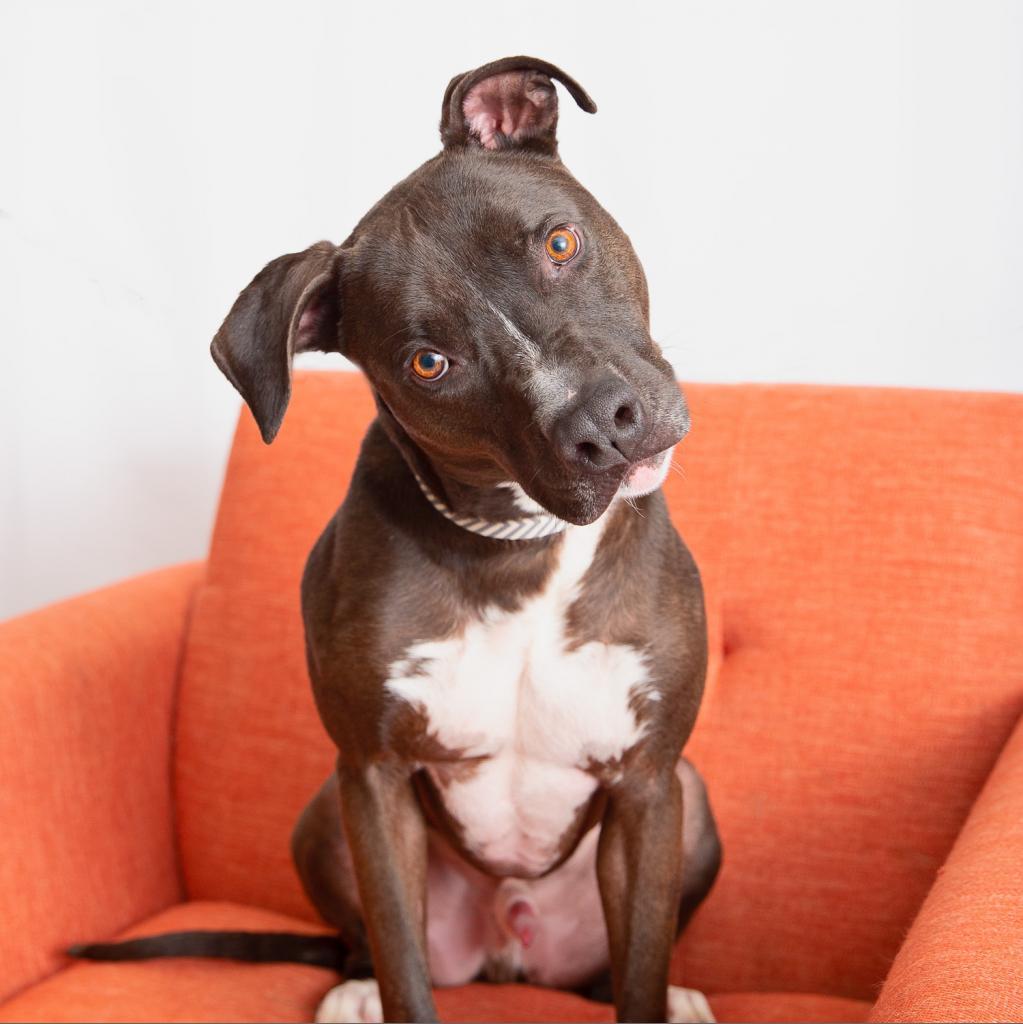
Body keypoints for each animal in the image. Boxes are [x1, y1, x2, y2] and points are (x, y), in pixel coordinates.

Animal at [72, 58, 725, 1024]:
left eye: (558, 244)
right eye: (430, 363)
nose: (600, 425)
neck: (517, 546)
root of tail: (507, 953)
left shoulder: (648, 785)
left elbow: (639, 967)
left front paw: (659, 992)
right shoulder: (373, 779)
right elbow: (402, 965)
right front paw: (381, 991)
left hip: (692, 797)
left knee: (609, 970)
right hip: (324, 813)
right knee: (362, 942)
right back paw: (350, 989)